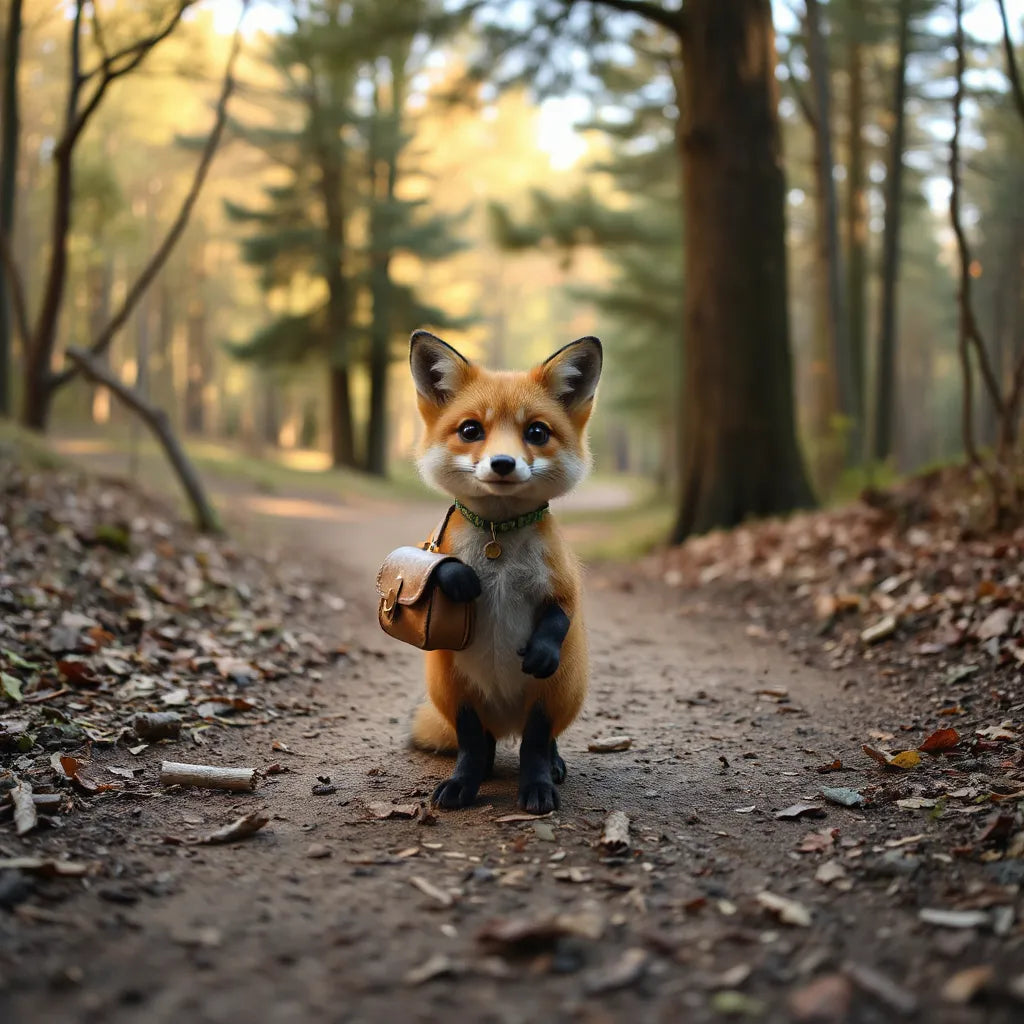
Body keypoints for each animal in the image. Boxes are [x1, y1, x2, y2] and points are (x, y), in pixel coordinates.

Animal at [407, 329, 603, 814]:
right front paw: (460, 579)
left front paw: (537, 787)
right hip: (455, 691)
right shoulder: (432, 550)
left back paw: (546, 772)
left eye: (536, 432)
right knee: (477, 745)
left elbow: (560, 614)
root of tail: (506, 721)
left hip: (552, 696)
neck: (499, 542)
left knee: (537, 743)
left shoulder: (563, 582)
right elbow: (438, 569)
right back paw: (469, 778)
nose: (502, 464)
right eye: (470, 430)